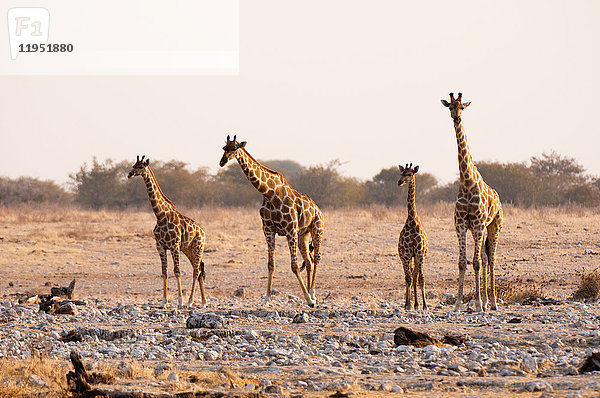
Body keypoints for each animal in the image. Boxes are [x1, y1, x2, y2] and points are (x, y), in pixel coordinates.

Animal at [127, 155, 207, 308]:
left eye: (141, 166)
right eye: (134, 165)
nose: (130, 174)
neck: (160, 215)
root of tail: (203, 232)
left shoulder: (174, 245)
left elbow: (177, 271)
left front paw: (180, 301)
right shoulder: (160, 246)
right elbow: (164, 272)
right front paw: (164, 302)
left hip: (198, 247)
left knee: (196, 270)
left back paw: (190, 302)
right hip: (188, 249)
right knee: (200, 269)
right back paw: (204, 301)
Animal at [219, 135, 326, 306]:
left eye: (235, 148)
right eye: (224, 148)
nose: (222, 162)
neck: (268, 193)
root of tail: (318, 210)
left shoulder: (290, 229)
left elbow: (294, 266)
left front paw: (309, 300)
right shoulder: (268, 230)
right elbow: (271, 264)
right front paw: (267, 297)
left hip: (317, 229)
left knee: (316, 258)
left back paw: (312, 294)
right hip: (303, 235)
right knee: (309, 261)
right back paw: (311, 292)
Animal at [438, 92, 504, 310]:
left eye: (462, 107)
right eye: (450, 107)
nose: (457, 118)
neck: (467, 182)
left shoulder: (477, 223)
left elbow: (475, 263)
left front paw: (478, 305)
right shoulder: (460, 224)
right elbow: (462, 262)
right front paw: (459, 303)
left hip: (493, 226)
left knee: (490, 259)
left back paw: (492, 302)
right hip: (480, 231)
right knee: (484, 257)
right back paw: (485, 300)